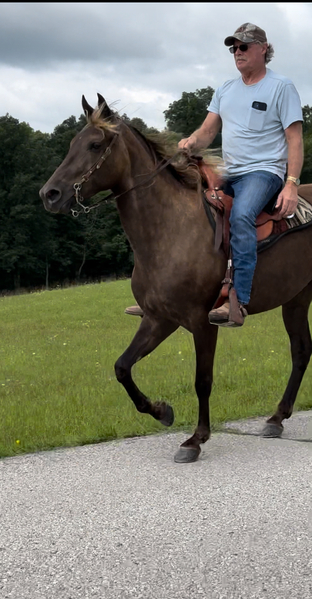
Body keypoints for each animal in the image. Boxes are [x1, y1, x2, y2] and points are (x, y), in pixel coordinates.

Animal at [39, 95, 312, 464]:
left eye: (95, 145)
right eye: (71, 144)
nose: (49, 194)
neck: (169, 231)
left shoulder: (202, 322)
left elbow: (202, 380)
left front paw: (195, 440)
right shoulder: (159, 319)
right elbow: (122, 367)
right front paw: (161, 411)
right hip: (296, 298)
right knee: (301, 351)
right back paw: (276, 418)